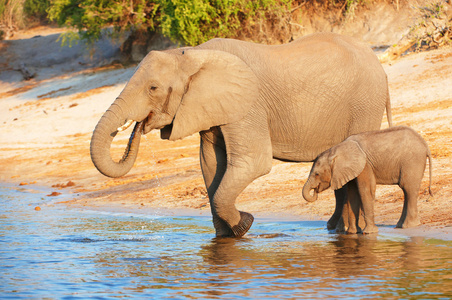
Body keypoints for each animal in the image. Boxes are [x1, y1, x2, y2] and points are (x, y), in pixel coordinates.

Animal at [90, 32, 390, 238]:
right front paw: (226, 236)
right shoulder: (213, 112)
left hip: (365, 105)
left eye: (153, 88)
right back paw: (336, 230)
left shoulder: (248, 106)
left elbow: (253, 163)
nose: (138, 125)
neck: (193, 54)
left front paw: (244, 224)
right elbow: (211, 167)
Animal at [302, 125, 432, 233]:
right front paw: (353, 233)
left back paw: (409, 226)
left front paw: (369, 232)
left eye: (317, 174)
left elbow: (366, 190)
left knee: (408, 188)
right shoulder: (353, 169)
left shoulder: (365, 166)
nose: (315, 190)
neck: (337, 149)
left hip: (412, 161)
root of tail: (425, 145)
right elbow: (353, 194)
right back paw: (400, 226)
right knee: (406, 191)